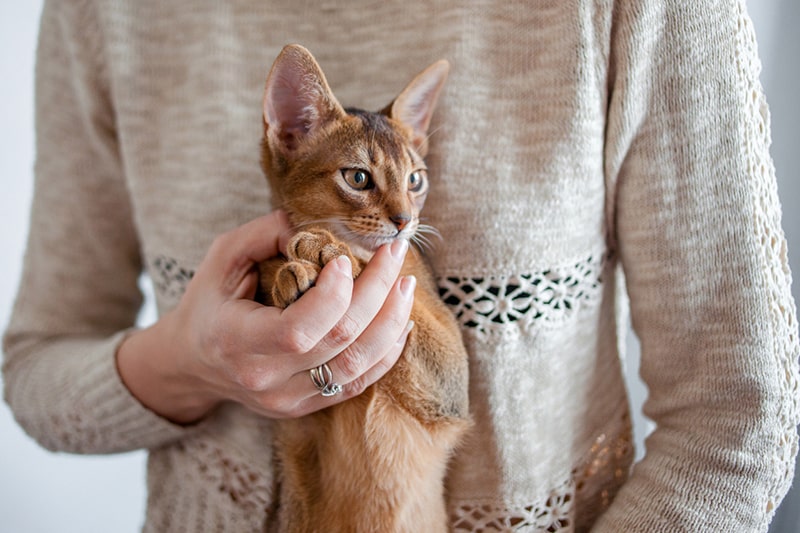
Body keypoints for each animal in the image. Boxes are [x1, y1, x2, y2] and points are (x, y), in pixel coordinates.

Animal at [256, 43, 468, 528]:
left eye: (415, 179)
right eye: (357, 177)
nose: (405, 221)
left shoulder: (452, 384)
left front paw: (329, 252)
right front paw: (286, 274)